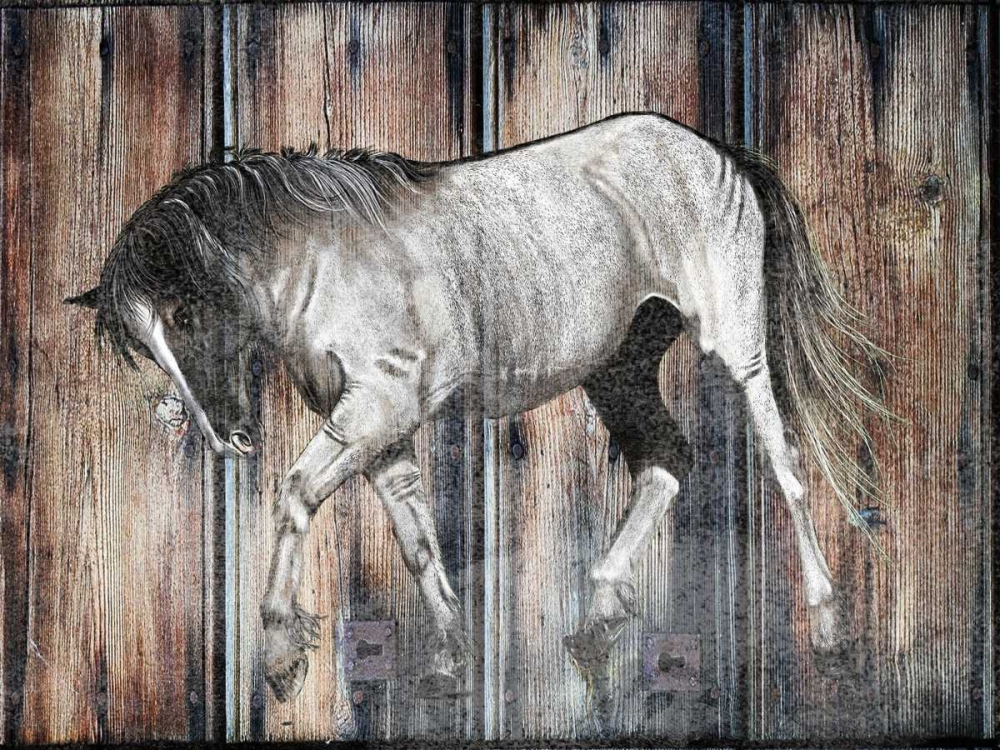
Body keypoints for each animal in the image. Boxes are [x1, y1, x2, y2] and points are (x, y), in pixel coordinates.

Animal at [67, 112, 892, 706]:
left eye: (186, 314)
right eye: (150, 346)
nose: (229, 438)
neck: (325, 256)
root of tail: (717, 150)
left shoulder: (377, 408)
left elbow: (297, 492)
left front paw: (277, 654)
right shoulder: (381, 432)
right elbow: (417, 539)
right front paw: (447, 664)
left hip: (736, 345)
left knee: (784, 465)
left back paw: (829, 632)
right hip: (618, 368)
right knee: (666, 460)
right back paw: (597, 621)